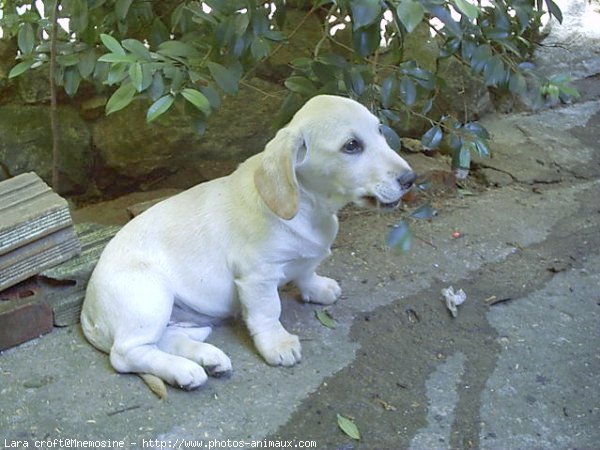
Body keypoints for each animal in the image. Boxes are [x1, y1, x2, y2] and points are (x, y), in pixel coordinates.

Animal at [81, 94, 418, 390]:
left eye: (379, 131)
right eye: (351, 146)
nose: (410, 179)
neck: (311, 205)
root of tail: (87, 313)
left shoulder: (302, 260)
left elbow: (306, 271)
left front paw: (318, 288)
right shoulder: (258, 277)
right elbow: (268, 311)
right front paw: (278, 343)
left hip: (182, 321)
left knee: (163, 340)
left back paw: (207, 359)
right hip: (150, 297)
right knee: (126, 354)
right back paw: (183, 371)